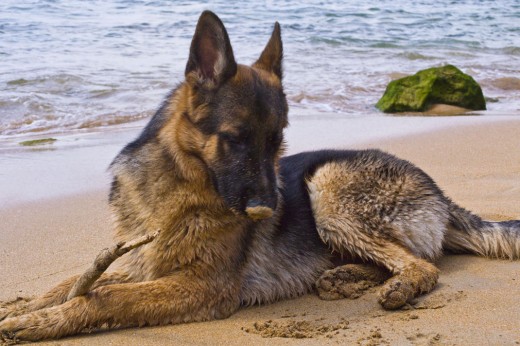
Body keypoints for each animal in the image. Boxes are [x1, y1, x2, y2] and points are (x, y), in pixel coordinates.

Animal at [1, 10, 520, 340]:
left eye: (277, 142)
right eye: (236, 139)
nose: (270, 210)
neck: (180, 187)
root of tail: (441, 192)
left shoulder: (203, 286)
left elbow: (105, 297)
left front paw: (40, 321)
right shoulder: (136, 262)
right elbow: (67, 284)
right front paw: (28, 308)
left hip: (327, 186)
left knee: (424, 264)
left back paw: (391, 285)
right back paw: (345, 276)